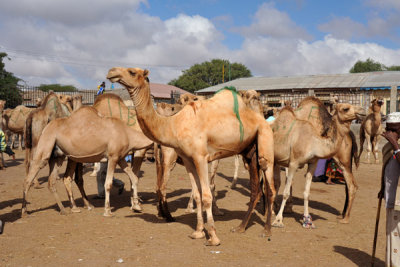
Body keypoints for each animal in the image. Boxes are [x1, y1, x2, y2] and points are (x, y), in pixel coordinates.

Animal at [21, 105, 154, 217]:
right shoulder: (113, 156)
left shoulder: (120, 158)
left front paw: (136, 206)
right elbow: (108, 183)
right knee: (29, 176)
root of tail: (47, 126)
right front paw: (108, 211)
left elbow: (134, 178)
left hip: (58, 156)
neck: (128, 134)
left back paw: (67, 209)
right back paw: (24, 211)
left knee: (53, 180)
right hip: (46, 145)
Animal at [106, 67, 276, 247]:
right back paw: (240, 227)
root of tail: (264, 121)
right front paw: (198, 232)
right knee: (256, 190)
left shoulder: (201, 157)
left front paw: (213, 237)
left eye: (132, 72)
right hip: (249, 154)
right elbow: (197, 195)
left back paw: (266, 230)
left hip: (264, 144)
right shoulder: (188, 159)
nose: (111, 72)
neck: (173, 125)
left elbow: (207, 195)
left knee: (270, 188)